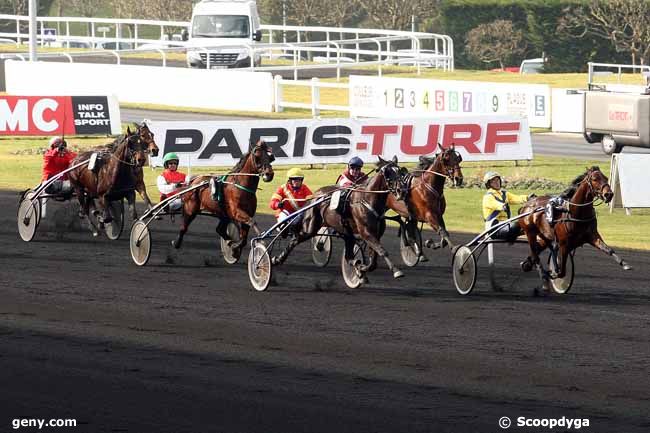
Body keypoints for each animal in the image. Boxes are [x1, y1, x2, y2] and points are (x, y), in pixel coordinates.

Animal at [272, 157, 404, 278]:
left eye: (399, 170)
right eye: (387, 172)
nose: (400, 190)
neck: (367, 199)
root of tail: (315, 195)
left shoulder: (375, 233)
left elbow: (373, 259)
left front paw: (361, 267)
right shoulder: (366, 232)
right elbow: (382, 251)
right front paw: (396, 271)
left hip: (346, 232)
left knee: (349, 256)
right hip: (310, 228)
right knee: (295, 239)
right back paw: (277, 259)